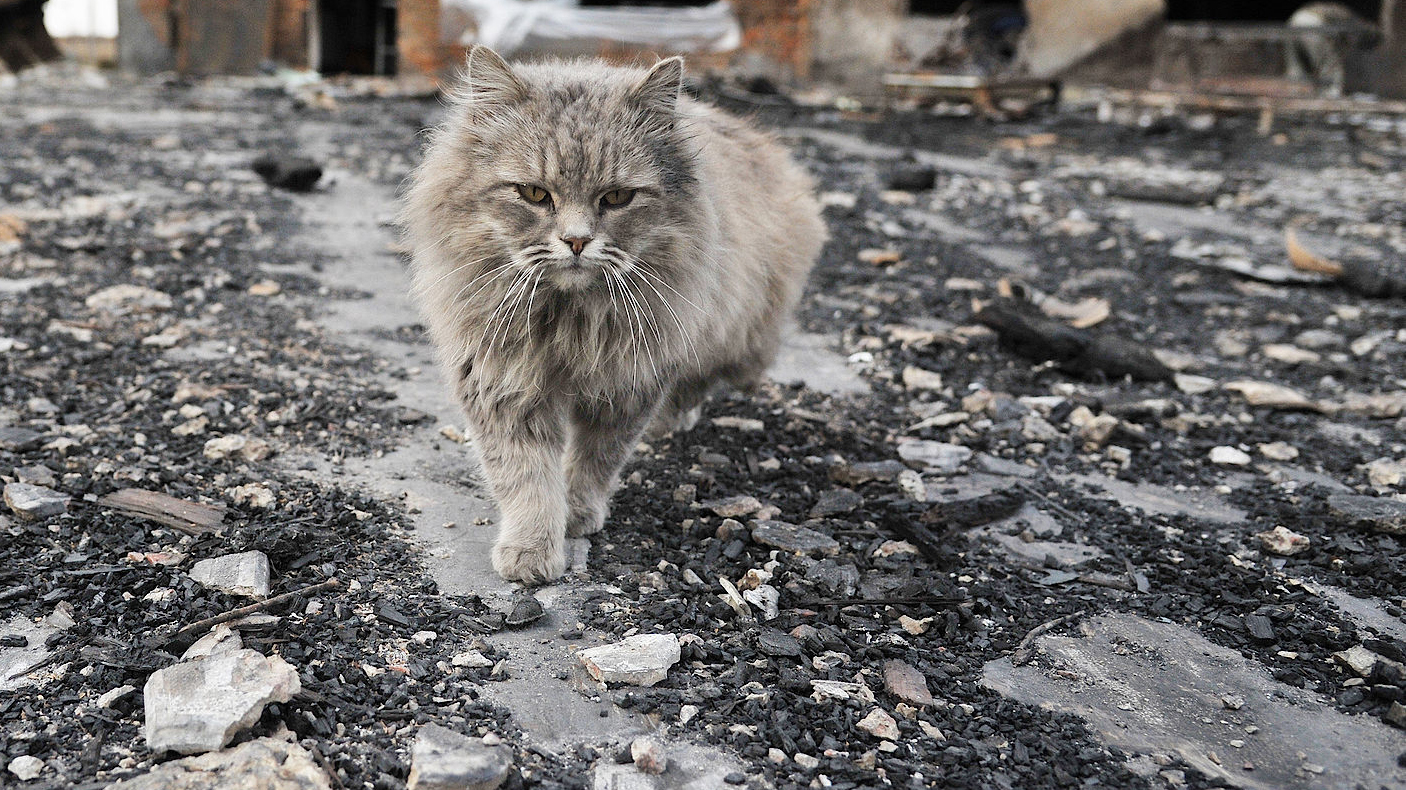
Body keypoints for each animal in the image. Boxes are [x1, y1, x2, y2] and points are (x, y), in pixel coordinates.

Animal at [402, 47, 821, 579]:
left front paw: (577, 516)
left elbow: (594, 461)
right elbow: (526, 477)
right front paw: (532, 549)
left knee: (700, 378)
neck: (570, 319)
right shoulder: (503, 381)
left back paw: (674, 420)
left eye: (617, 197)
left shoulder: (630, 380)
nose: (577, 241)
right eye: (534, 194)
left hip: (726, 327)